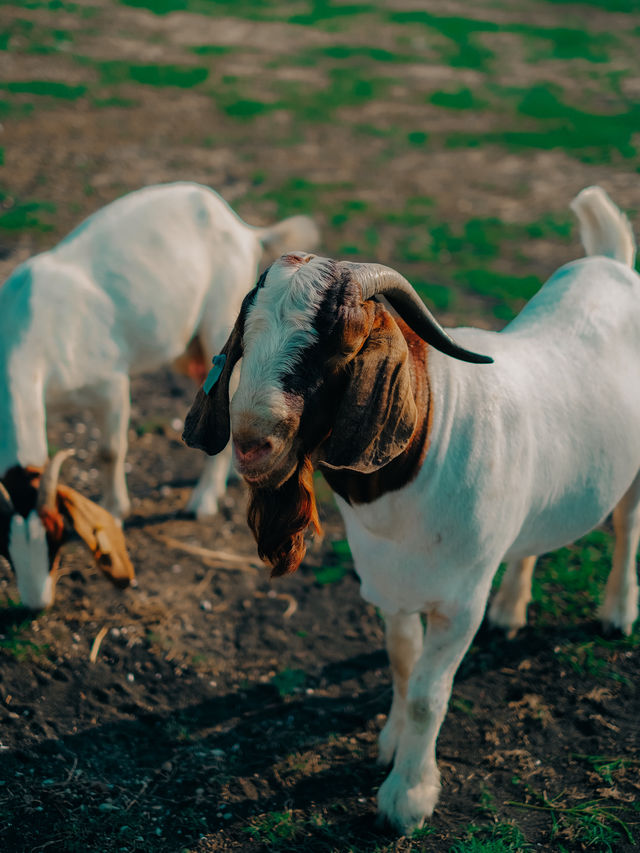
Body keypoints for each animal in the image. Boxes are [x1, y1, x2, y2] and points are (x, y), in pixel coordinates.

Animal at [0, 180, 320, 604]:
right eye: (6, 550)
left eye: (54, 536)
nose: (35, 605)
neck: (31, 332)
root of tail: (242, 228)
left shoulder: (110, 383)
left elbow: (109, 451)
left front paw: (116, 510)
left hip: (226, 315)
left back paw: (202, 501)